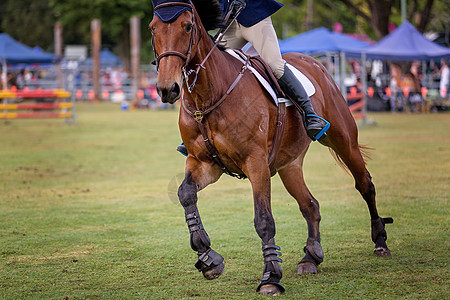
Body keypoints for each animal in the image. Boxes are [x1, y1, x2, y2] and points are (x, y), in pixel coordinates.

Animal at [149, 0, 392, 296]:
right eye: (153, 28)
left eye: (186, 27)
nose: (167, 89)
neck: (207, 95)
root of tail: (315, 62)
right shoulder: (203, 162)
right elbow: (185, 194)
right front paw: (208, 257)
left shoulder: (256, 163)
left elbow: (264, 220)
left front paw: (270, 277)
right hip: (289, 165)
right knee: (310, 205)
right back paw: (311, 257)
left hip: (343, 140)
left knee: (365, 184)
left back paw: (380, 241)